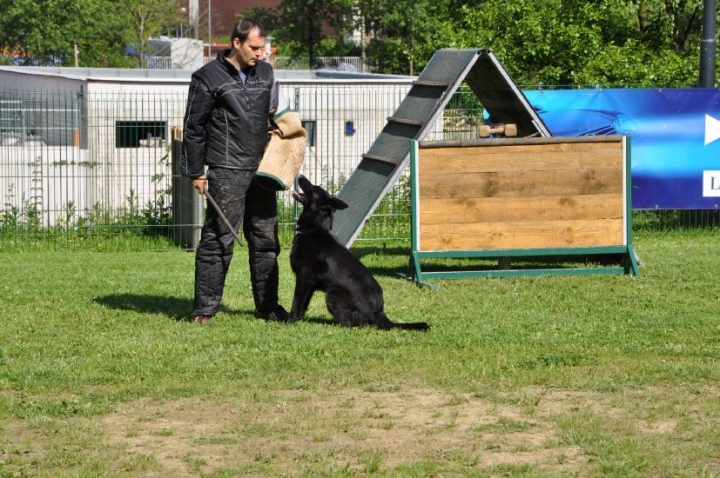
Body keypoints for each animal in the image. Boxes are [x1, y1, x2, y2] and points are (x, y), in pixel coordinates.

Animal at [288, 176, 430, 332]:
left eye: (313, 187)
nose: (300, 176)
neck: (314, 229)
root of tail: (379, 312)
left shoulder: (303, 278)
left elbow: (296, 303)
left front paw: (289, 320)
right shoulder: (310, 285)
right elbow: (303, 306)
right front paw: (298, 320)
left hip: (333, 295)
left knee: (351, 324)